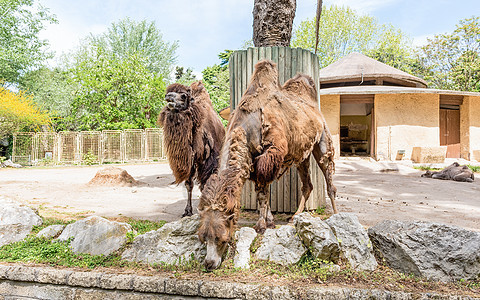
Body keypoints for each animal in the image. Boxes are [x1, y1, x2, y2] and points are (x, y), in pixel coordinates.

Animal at [158, 81, 225, 218]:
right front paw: (187, 211)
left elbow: (206, 181)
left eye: (183, 95)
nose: (169, 96)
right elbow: (189, 184)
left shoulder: (209, 160)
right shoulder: (190, 160)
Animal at [197, 59, 336, 270]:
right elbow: (263, 192)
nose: (209, 263)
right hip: (302, 155)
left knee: (329, 177)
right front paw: (269, 221)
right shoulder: (254, 162)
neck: (247, 126)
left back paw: (336, 215)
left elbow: (263, 194)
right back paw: (295, 216)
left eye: (221, 238)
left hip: (322, 139)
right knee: (307, 185)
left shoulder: (269, 156)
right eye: (203, 238)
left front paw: (261, 225)